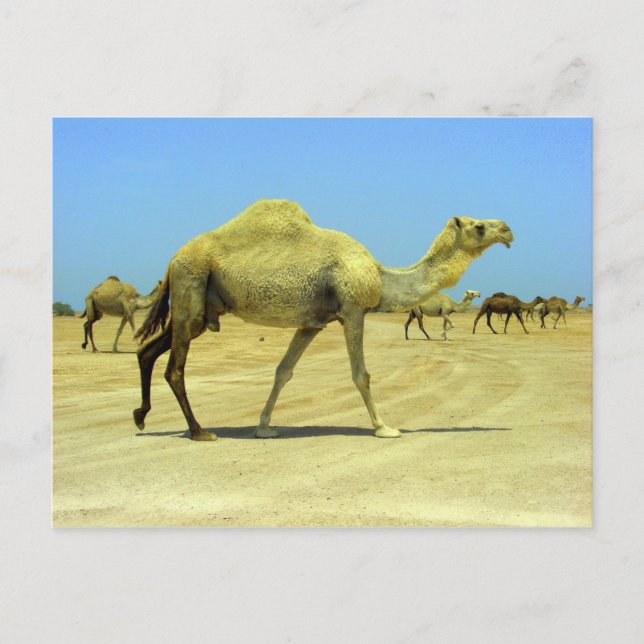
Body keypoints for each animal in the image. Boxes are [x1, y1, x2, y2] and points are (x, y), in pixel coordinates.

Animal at [133, 199, 513, 441]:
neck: (380, 275)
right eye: (479, 226)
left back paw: (140, 417)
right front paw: (385, 427)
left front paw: (264, 427)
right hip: (191, 288)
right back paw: (199, 431)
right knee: (174, 368)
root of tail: (172, 260)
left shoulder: (312, 323)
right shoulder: (353, 311)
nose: (508, 230)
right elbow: (361, 375)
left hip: (198, 310)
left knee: (147, 351)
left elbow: (283, 371)